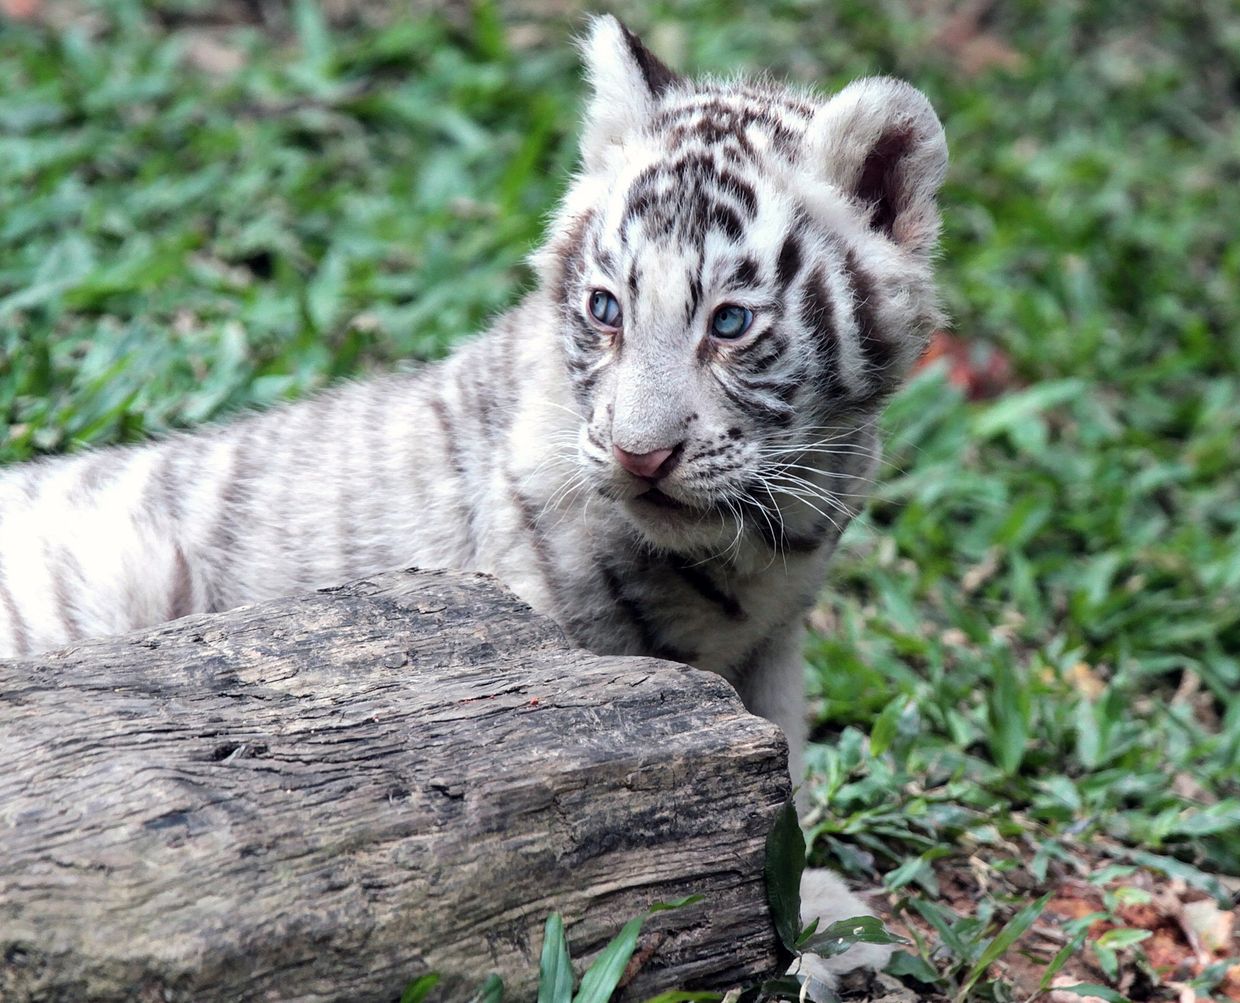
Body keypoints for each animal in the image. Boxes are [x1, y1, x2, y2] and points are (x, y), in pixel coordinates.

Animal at [0, 15, 947, 985]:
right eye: (606, 308)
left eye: (730, 322)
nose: (640, 455)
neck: (760, 544)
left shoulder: (775, 642)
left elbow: (782, 763)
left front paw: (818, 914)